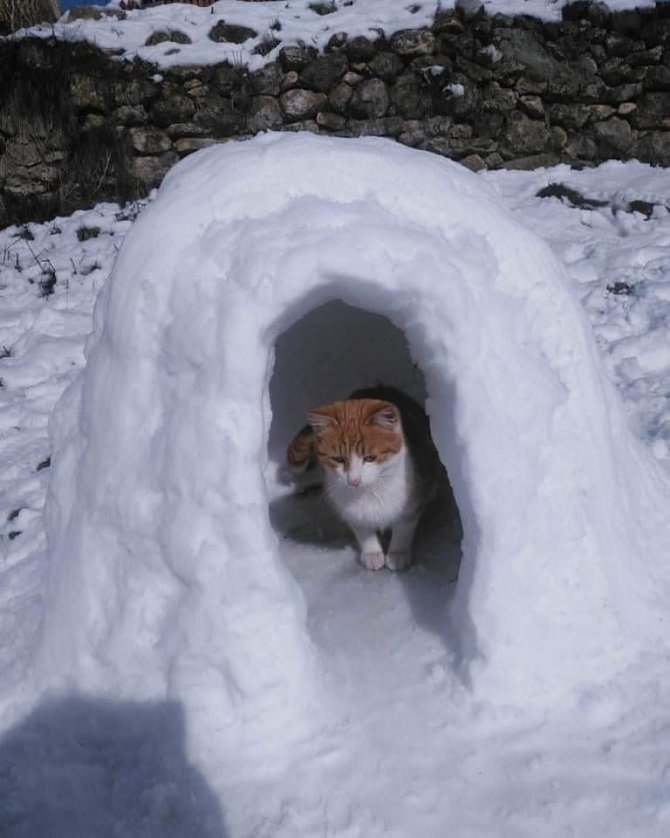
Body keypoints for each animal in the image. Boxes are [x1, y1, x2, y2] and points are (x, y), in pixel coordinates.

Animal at [288, 388, 446, 572]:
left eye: (370, 458)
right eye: (338, 459)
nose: (354, 480)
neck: (372, 491)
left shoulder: (414, 500)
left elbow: (403, 528)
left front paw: (397, 553)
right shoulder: (349, 509)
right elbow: (363, 530)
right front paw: (372, 554)